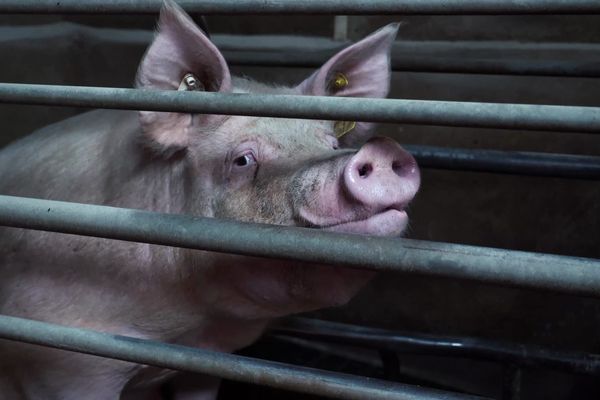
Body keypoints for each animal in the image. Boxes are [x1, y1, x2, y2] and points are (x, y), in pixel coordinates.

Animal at [0, 1, 420, 398]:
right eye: (243, 160)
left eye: (331, 144)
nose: (380, 149)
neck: (184, 321)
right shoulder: (61, 360)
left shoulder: (211, 355)